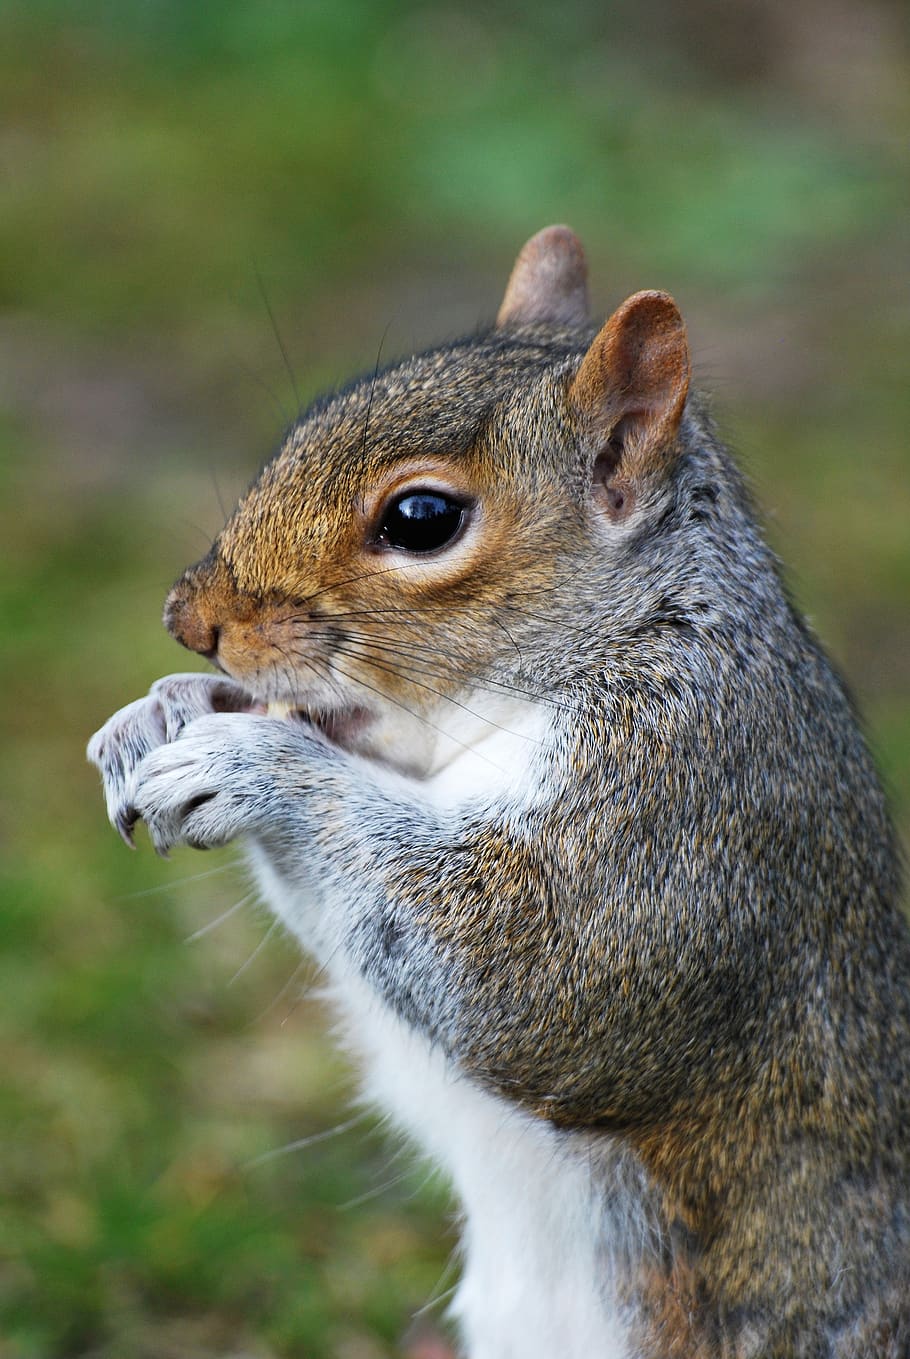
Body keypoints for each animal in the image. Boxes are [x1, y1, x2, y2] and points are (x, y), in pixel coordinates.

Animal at [88, 225, 910, 1358]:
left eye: (422, 518)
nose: (189, 620)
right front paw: (162, 710)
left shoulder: (682, 808)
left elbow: (525, 979)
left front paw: (253, 764)